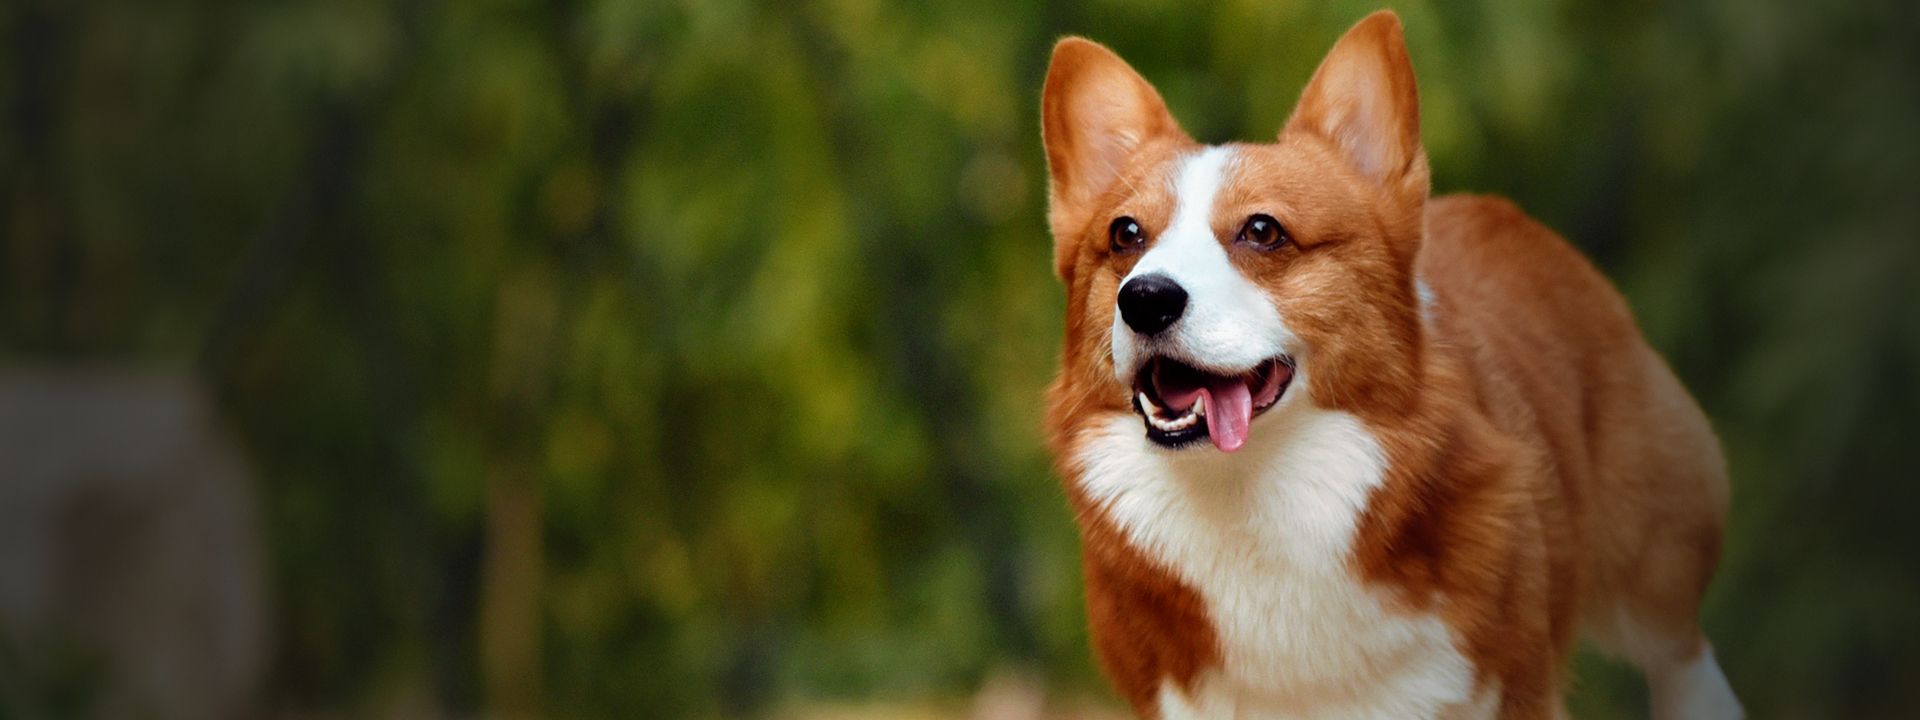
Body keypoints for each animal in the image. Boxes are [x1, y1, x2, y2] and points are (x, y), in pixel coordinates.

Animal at [1044, 11, 1751, 720]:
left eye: (1263, 231)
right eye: (1126, 235)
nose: (1144, 299)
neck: (1251, 496)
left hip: (1654, 564)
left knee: (1680, 653)